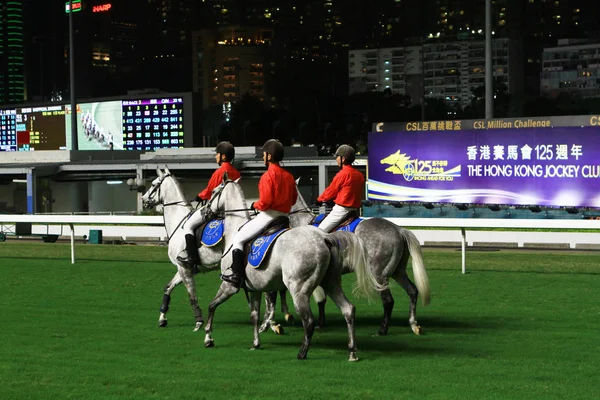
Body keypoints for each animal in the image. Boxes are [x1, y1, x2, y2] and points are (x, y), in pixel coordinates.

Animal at [199, 174, 382, 360]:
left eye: (213, 191)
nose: (204, 212)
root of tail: (324, 238)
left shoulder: (229, 285)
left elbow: (212, 306)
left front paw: (208, 338)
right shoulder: (255, 289)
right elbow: (254, 316)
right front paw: (256, 343)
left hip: (299, 290)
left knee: (309, 321)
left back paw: (302, 353)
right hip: (331, 283)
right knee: (348, 310)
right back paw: (352, 352)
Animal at [276, 180, 432, 336]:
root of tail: (399, 230)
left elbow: (319, 299)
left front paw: (316, 322)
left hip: (379, 275)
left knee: (388, 300)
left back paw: (382, 330)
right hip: (397, 272)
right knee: (412, 291)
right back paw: (414, 325)